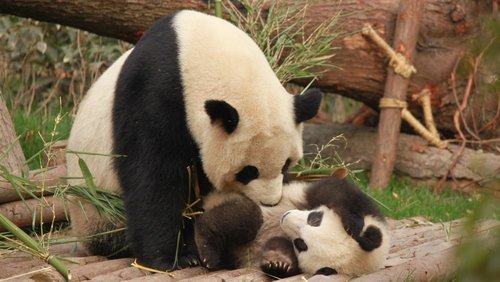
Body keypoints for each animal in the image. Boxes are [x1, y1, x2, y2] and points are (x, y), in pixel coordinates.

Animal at [65, 9, 320, 270]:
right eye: (248, 171)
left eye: (286, 165)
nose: (270, 202)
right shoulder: (153, 93)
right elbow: (153, 177)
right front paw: (169, 258)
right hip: (96, 208)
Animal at [195, 177, 390, 276]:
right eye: (315, 219)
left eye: (301, 244)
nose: (285, 217)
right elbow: (336, 190)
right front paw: (352, 222)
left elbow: (279, 247)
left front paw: (279, 263)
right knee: (245, 218)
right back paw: (207, 249)